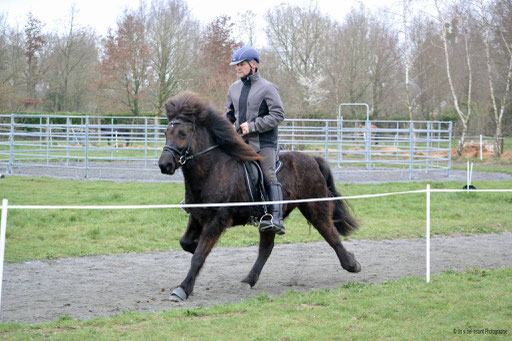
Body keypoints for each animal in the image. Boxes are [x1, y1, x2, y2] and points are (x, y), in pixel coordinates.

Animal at [158, 91, 362, 300]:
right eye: (166, 133)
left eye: (182, 134)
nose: (164, 165)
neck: (213, 170)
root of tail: (312, 159)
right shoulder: (197, 217)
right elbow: (186, 243)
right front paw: (193, 251)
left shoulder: (216, 221)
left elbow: (199, 256)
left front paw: (183, 288)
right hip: (268, 220)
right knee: (266, 248)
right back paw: (249, 280)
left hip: (315, 208)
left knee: (331, 234)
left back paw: (352, 264)